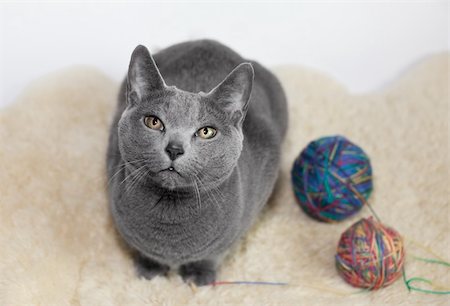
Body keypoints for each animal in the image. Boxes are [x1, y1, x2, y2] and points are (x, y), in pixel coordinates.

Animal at [107, 39, 286, 286]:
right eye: (153, 122)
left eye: (206, 132)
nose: (174, 148)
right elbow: (143, 250)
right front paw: (150, 270)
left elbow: (214, 252)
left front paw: (199, 277)